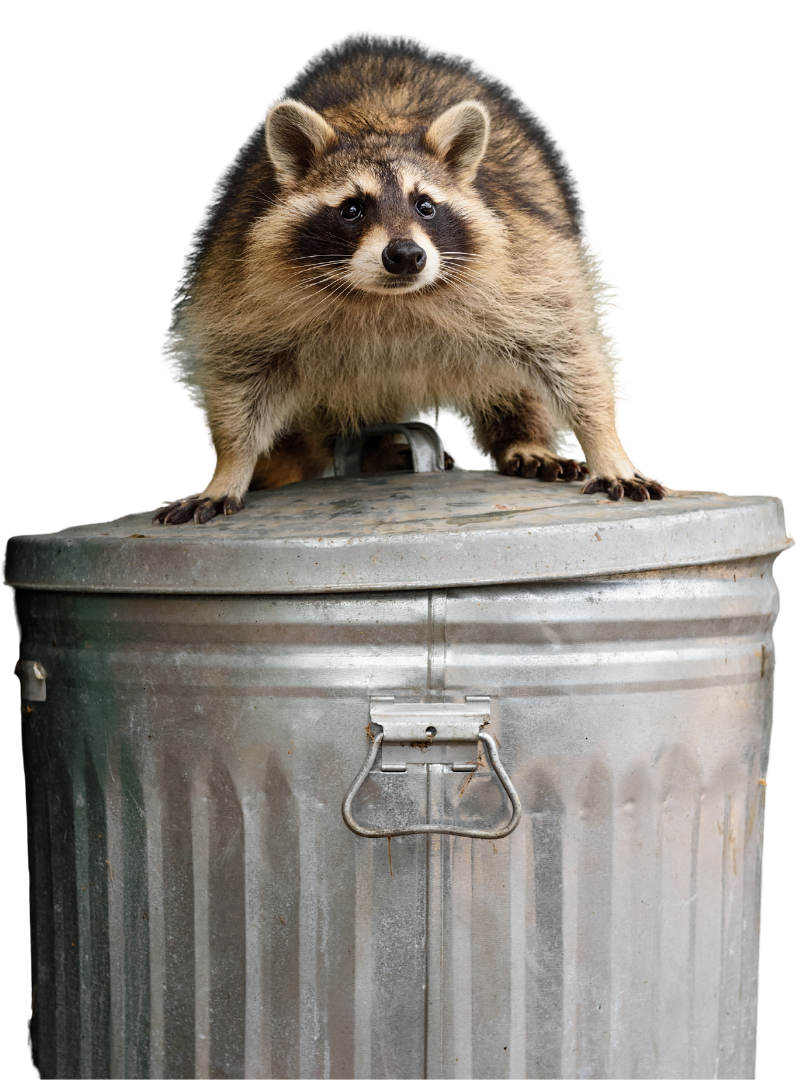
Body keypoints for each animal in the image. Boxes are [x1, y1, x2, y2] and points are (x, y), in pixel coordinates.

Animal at [156, 32, 665, 525]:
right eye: (352, 209)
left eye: (425, 206)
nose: (404, 256)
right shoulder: (238, 278)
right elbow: (240, 376)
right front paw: (230, 465)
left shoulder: (526, 257)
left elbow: (568, 350)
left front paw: (605, 443)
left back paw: (522, 434)